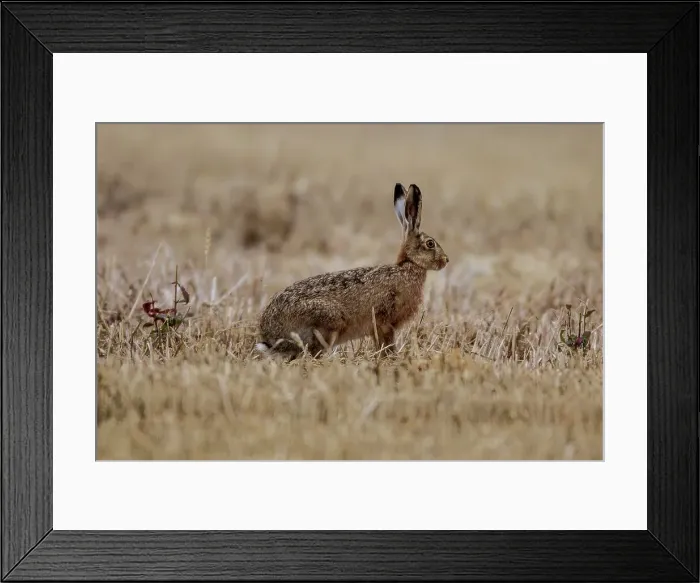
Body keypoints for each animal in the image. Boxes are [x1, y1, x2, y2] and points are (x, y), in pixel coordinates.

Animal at [255, 183, 449, 359]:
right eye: (430, 244)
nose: (446, 260)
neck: (408, 266)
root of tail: (271, 336)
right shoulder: (384, 322)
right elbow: (386, 344)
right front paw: (391, 359)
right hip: (328, 322)